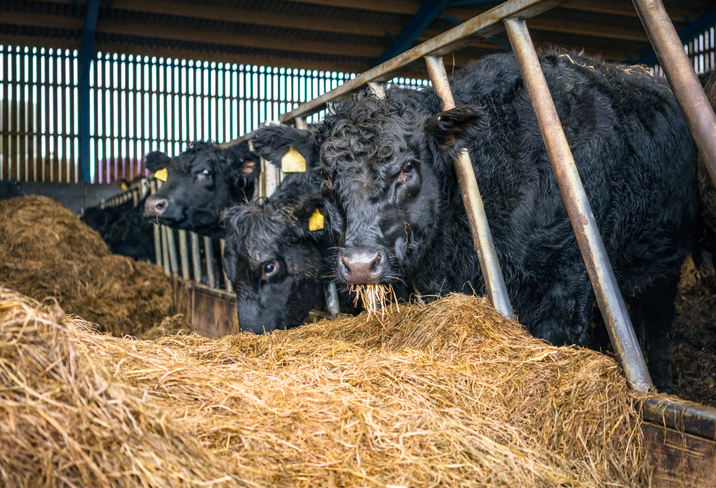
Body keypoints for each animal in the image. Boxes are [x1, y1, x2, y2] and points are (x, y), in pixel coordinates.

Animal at [314, 51, 700, 390]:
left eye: (408, 166)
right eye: (326, 176)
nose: (360, 264)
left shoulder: (567, 282)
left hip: (664, 263)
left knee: (658, 324)